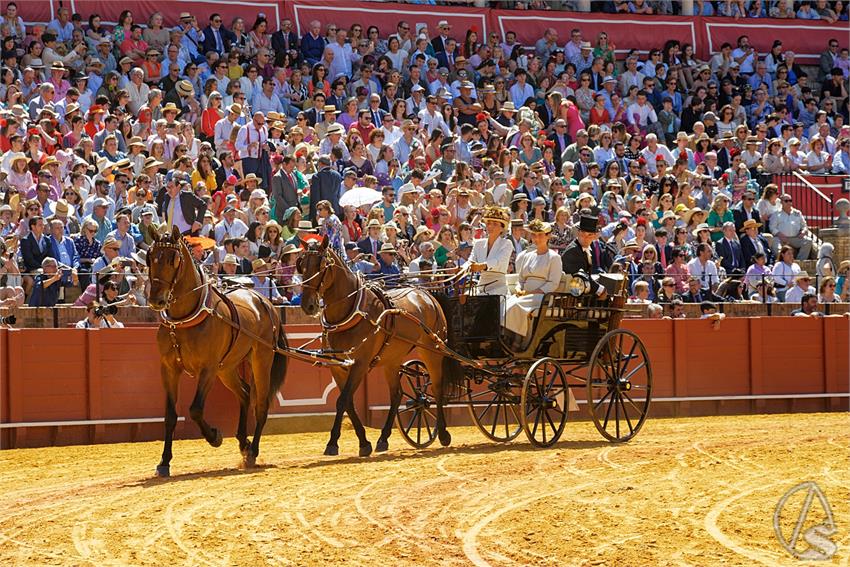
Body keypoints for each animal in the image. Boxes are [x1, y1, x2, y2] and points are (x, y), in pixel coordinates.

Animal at [147, 229, 288, 478]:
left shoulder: (208, 369)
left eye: (173, 259)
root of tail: (263, 301)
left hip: (260, 359)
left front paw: (215, 437)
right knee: (245, 393)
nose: (156, 299)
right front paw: (164, 462)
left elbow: (195, 409)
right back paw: (244, 442)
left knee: (260, 404)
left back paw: (252, 452)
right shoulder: (169, 369)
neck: (183, 320)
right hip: (227, 369)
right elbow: (170, 415)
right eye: (150, 257)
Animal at [298, 236, 464, 458]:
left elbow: (342, 400)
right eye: (301, 266)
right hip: (392, 360)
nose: (308, 305)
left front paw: (333, 443)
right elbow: (347, 402)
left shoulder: (359, 363)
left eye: (322, 266)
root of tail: (427, 294)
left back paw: (444, 434)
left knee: (437, 388)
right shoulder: (337, 366)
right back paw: (383, 438)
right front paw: (362, 441)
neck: (351, 311)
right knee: (397, 394)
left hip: (432, 352)